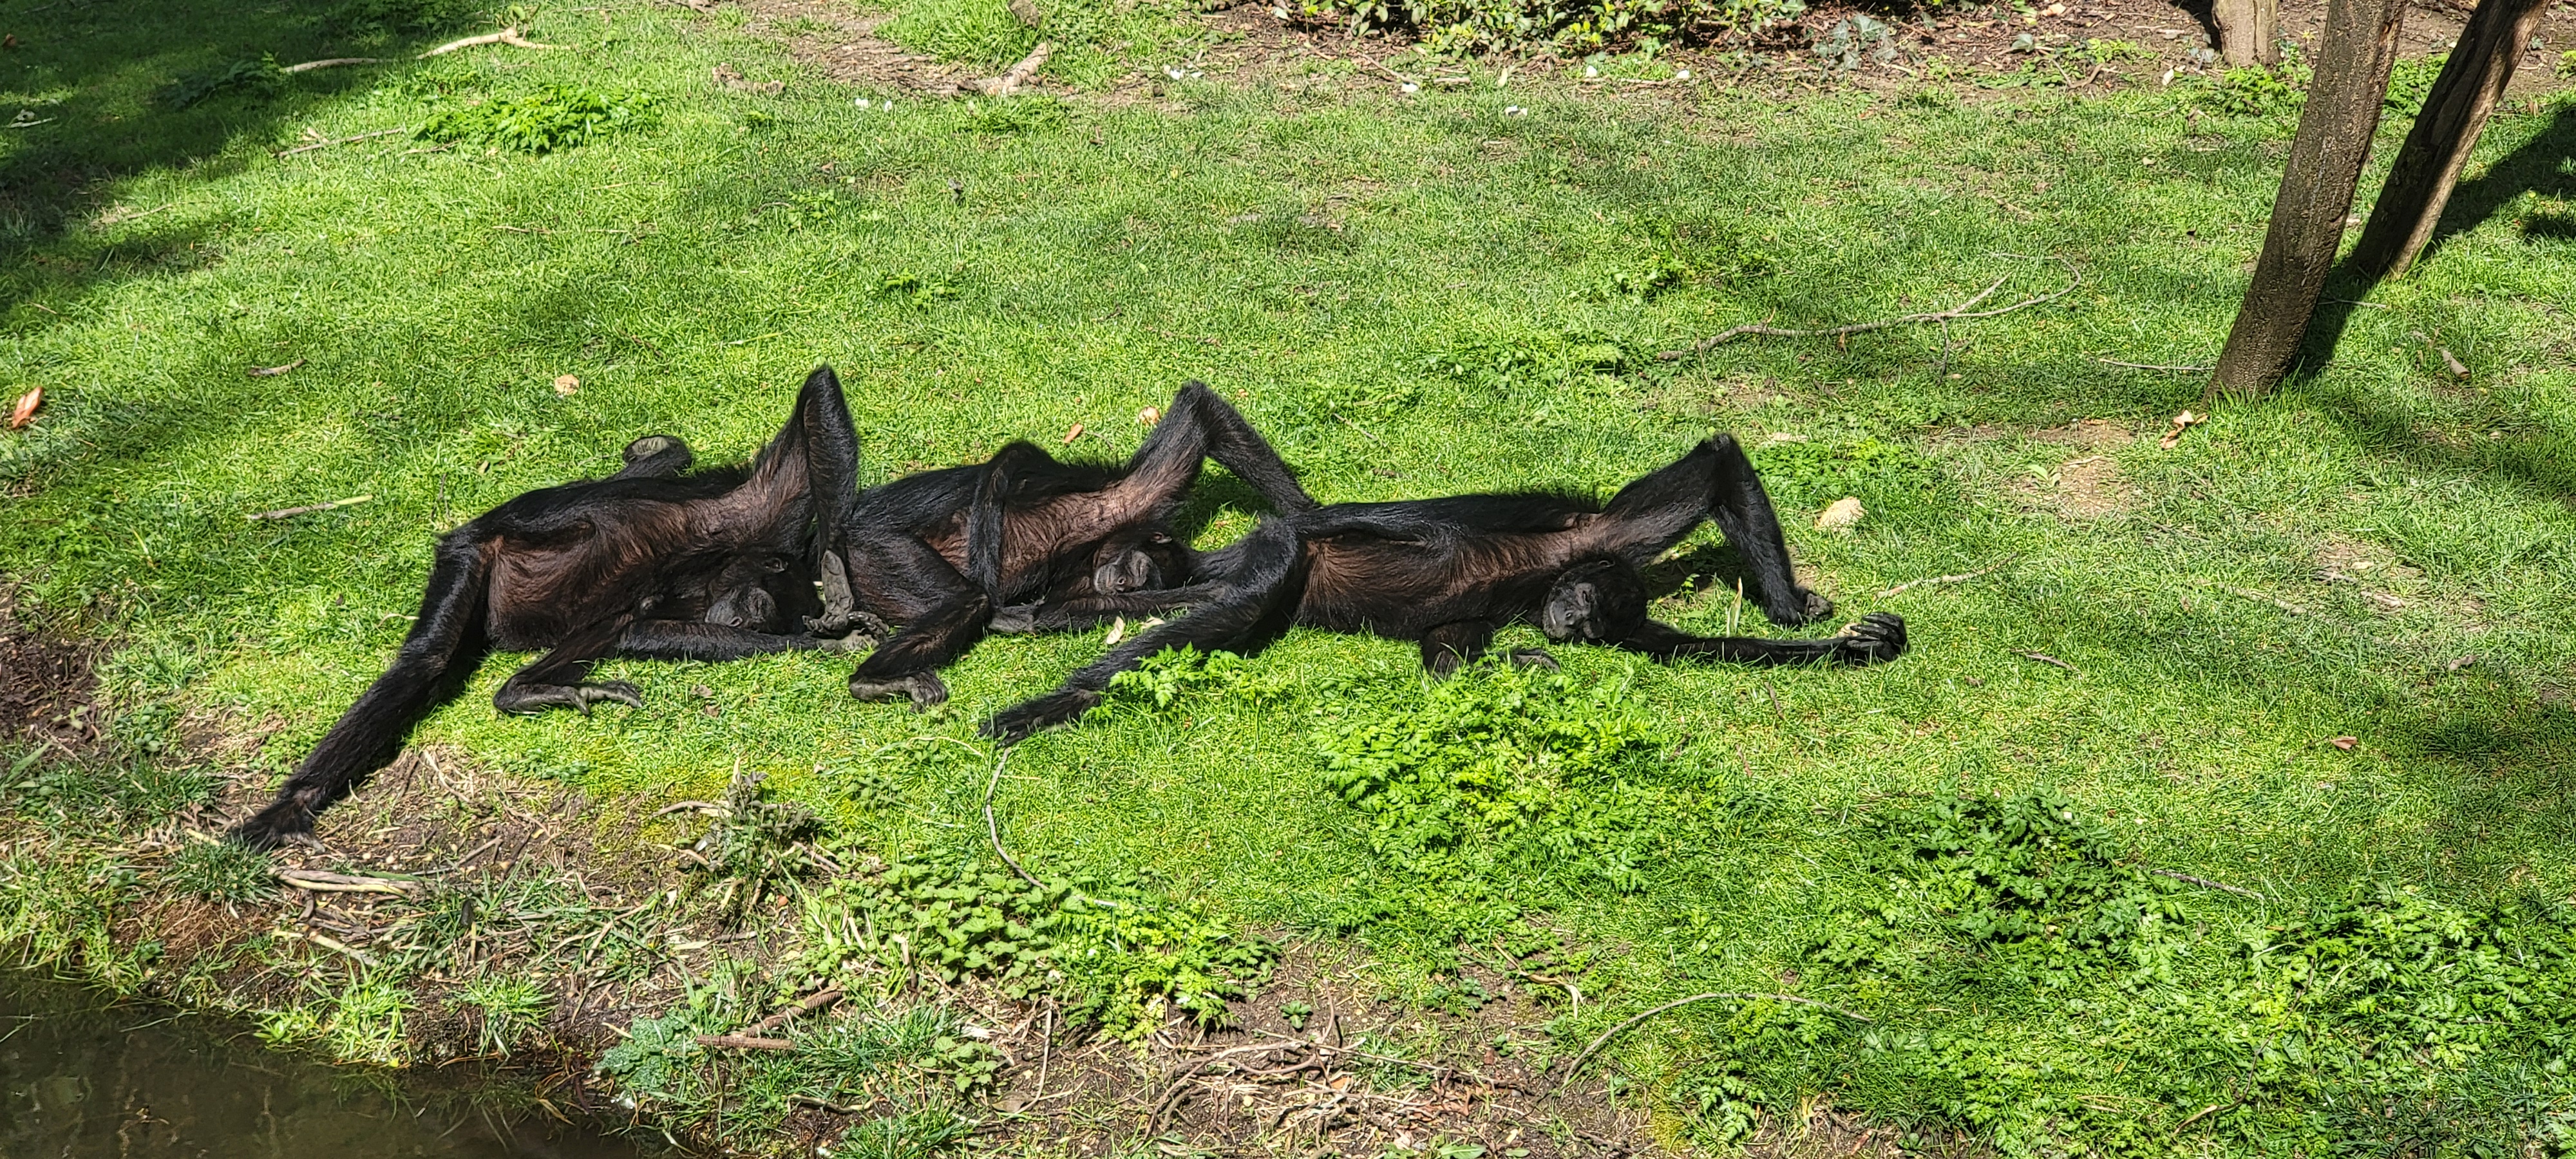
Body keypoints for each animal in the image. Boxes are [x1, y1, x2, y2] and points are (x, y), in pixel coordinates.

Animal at [229, 367, 865, 849]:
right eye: (758, 605)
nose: (739, 620)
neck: (706, 567)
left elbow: (637, 628)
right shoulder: (751, 515)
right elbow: (817, 393)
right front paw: (836, 583)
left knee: (601, 623)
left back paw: (525, 689)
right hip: (470, 556)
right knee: (429, 658)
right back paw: (292, 805)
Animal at [814, 381, 1317, 710]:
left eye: (1145, 582)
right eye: (1141, 569)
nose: (1126, 584)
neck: (1092, 543)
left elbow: (1059, 612)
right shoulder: (1125, 499)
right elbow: (1198, 411)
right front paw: (1310, 515)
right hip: (882, 548)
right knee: (968, 597)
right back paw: (873, 681)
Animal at [978, 433, 1908, 743]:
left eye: (1597, 621)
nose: (1569, 620)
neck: (1541, 582)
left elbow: (1448, 663)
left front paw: (1855, 642)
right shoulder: (1600, 539)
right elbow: (1714, 460)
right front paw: (1795, 606)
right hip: (1270, 557)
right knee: (1256, 586)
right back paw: (1048, 701)